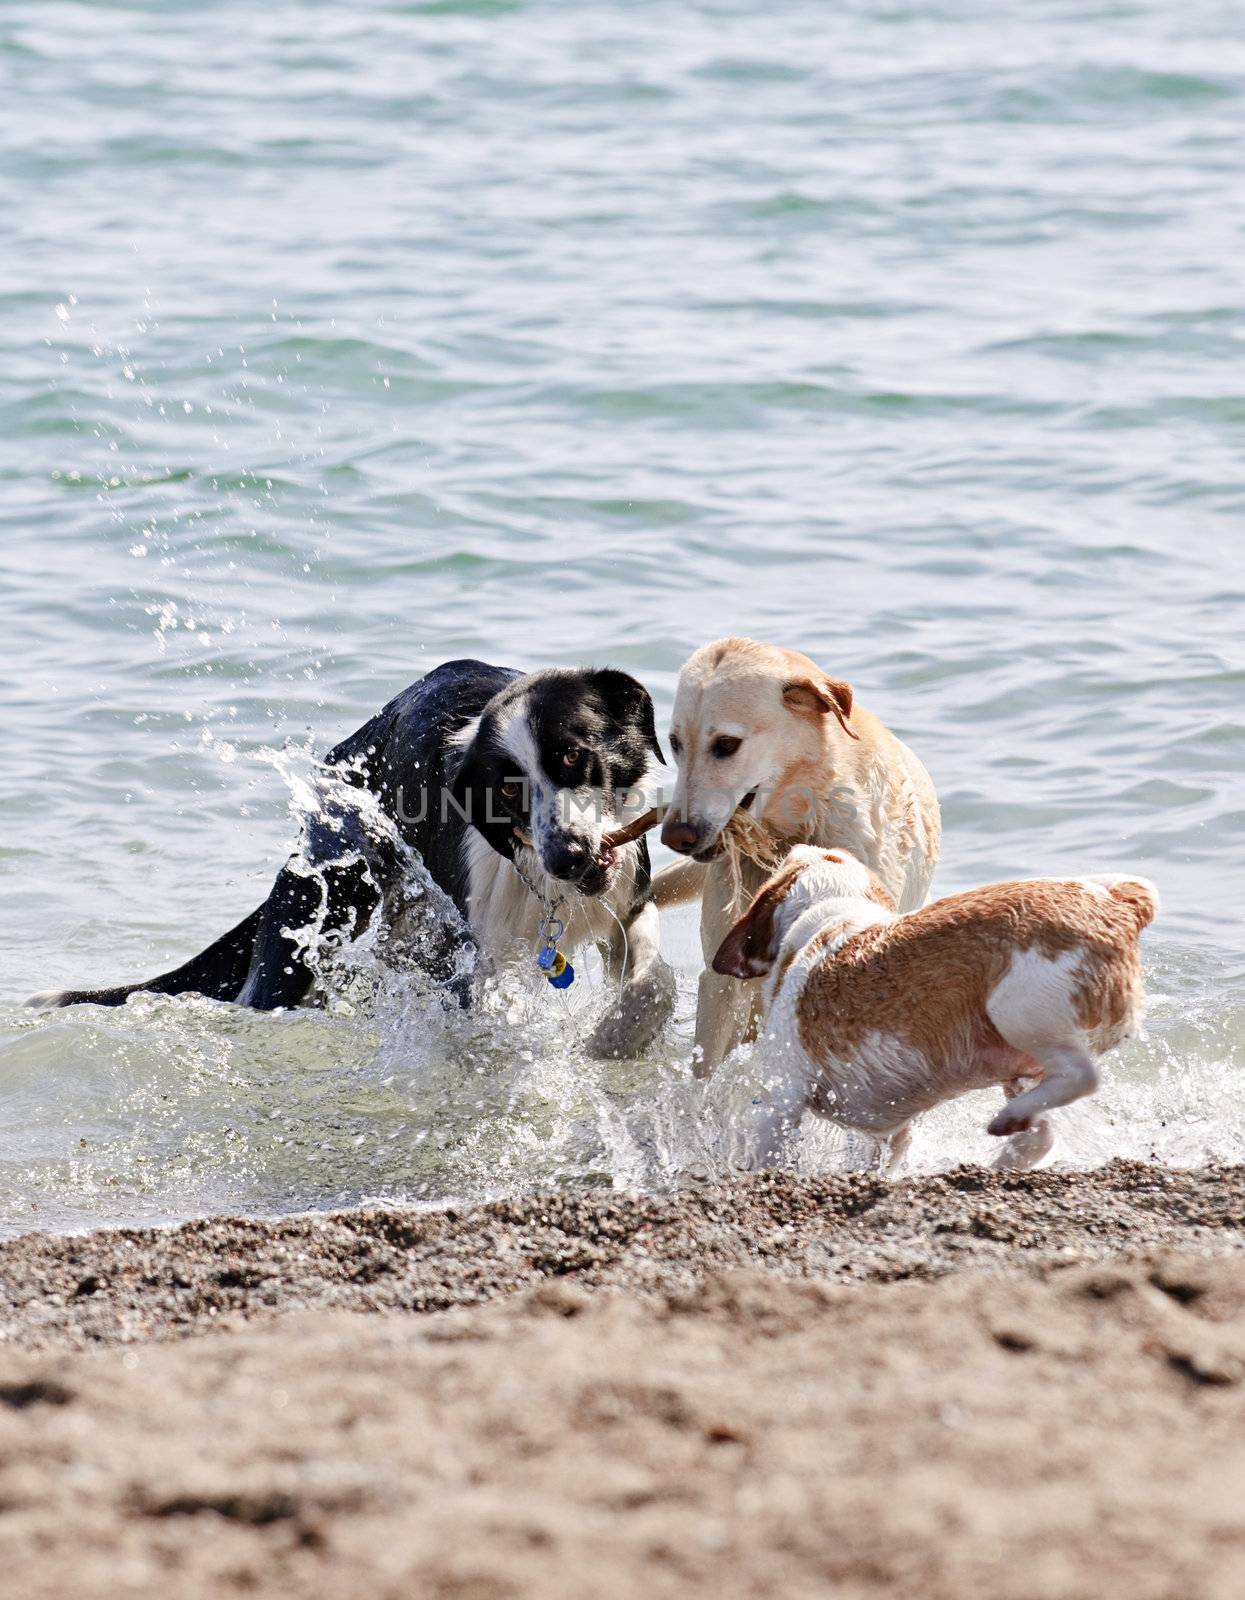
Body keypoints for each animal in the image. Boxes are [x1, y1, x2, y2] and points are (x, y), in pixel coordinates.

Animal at [31, 656, 668, 1056]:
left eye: (573, 754)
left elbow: (653, 980)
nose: (569, 858)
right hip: (311, 910)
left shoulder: (626, 899)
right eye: (507, 791)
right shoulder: (473, 957)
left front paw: (622, 1040)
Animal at [707, 851, 1152, 1177]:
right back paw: (1001, 1152)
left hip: (1020, 1016)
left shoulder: (780, 1102)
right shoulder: (892, 1132)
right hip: (1018, 1069)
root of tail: (1120, 906)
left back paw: (1009, 1118)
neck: (832, 914)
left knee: (1083, 1076)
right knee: (1038, 1136)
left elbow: (770, 1156)